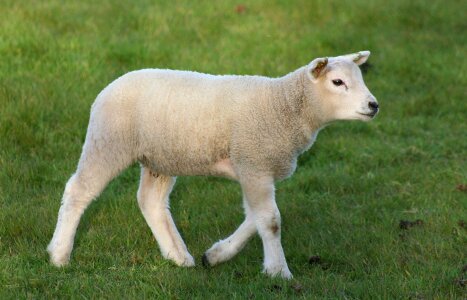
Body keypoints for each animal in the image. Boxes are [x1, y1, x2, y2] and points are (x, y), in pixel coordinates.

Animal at [47, 51, 378, 278]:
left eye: (360, 79)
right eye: (337, 82)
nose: (374, 105)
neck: (283, 106)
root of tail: (110, 86)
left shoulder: (254, 168)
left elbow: (255, 217)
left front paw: (217, 255)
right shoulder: (255, 164)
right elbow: (270, 220)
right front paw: (278, 272)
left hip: (161, 157)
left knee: (150, 201)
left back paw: (178, 256)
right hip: (108, 143)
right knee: (78, 191)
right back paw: (59, 254)